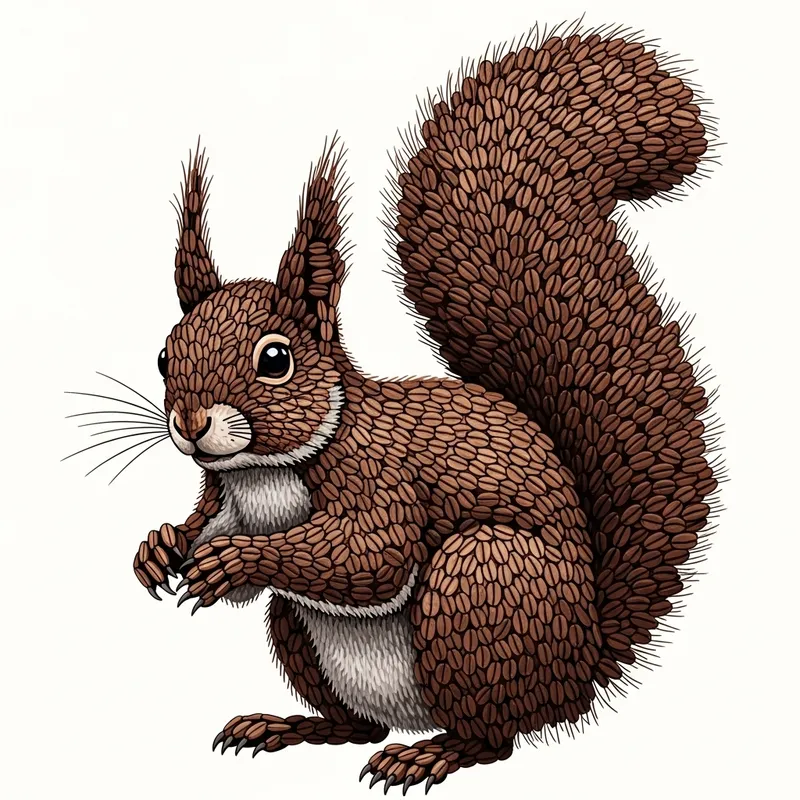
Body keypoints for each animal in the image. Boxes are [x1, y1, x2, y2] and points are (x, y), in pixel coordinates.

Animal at [130, 22, 718, 793]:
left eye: (275, 359)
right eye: (164, 357)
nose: (191, 425)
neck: (266, 471)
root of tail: (582, 667)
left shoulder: (382, 476)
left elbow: (369, 554)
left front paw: (235, 562)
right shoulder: (225, 497)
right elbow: (204, 526)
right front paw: (161, 545)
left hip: (478, 584)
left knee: (495, 737)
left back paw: (430, 753)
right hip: (299, 630)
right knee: (358, 723)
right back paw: (289, 726)